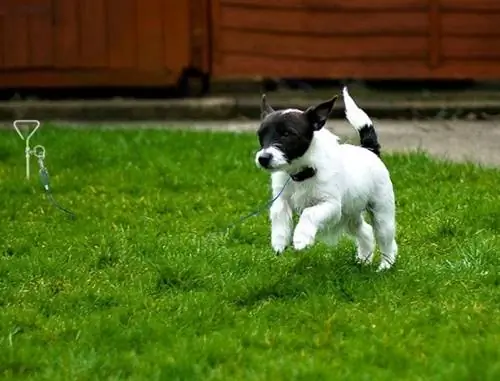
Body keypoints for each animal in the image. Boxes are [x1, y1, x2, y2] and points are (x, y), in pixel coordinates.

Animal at [256, 86, 396, 270]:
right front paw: (279, 240)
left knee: (386, 239)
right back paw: (363, 259)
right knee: (365, 230)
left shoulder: (331, 205)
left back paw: (385, 265)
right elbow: (278, 213)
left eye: (287, 133)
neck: (302, 174)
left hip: (381, 211)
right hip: (349, 215)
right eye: (260, 135)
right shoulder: (282, 198)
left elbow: (309, 213)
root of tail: (369, 150)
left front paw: (301, 238)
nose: (263, 158)